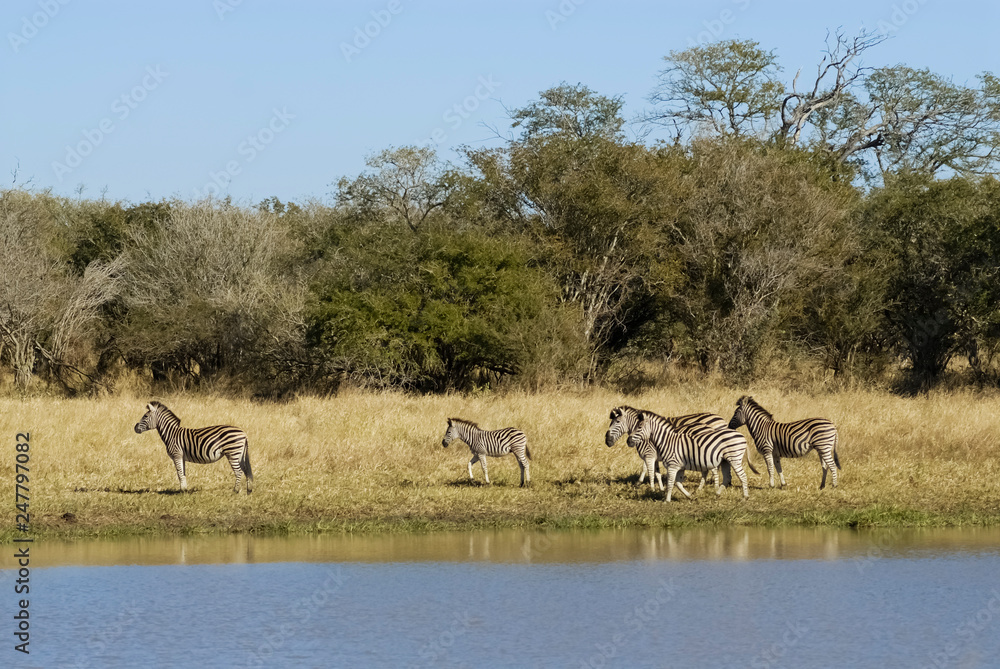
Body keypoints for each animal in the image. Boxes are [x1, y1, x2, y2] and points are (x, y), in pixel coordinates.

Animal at [605, 406, 755, 490]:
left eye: (617, 422)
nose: (607, 441)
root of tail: (720, 420)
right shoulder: (655, 456)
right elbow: (656, 472)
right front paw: (661, 487)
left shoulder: (649, 453)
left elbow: (647, 469)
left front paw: (643, 484)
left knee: (713, 469)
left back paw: (714, 487)